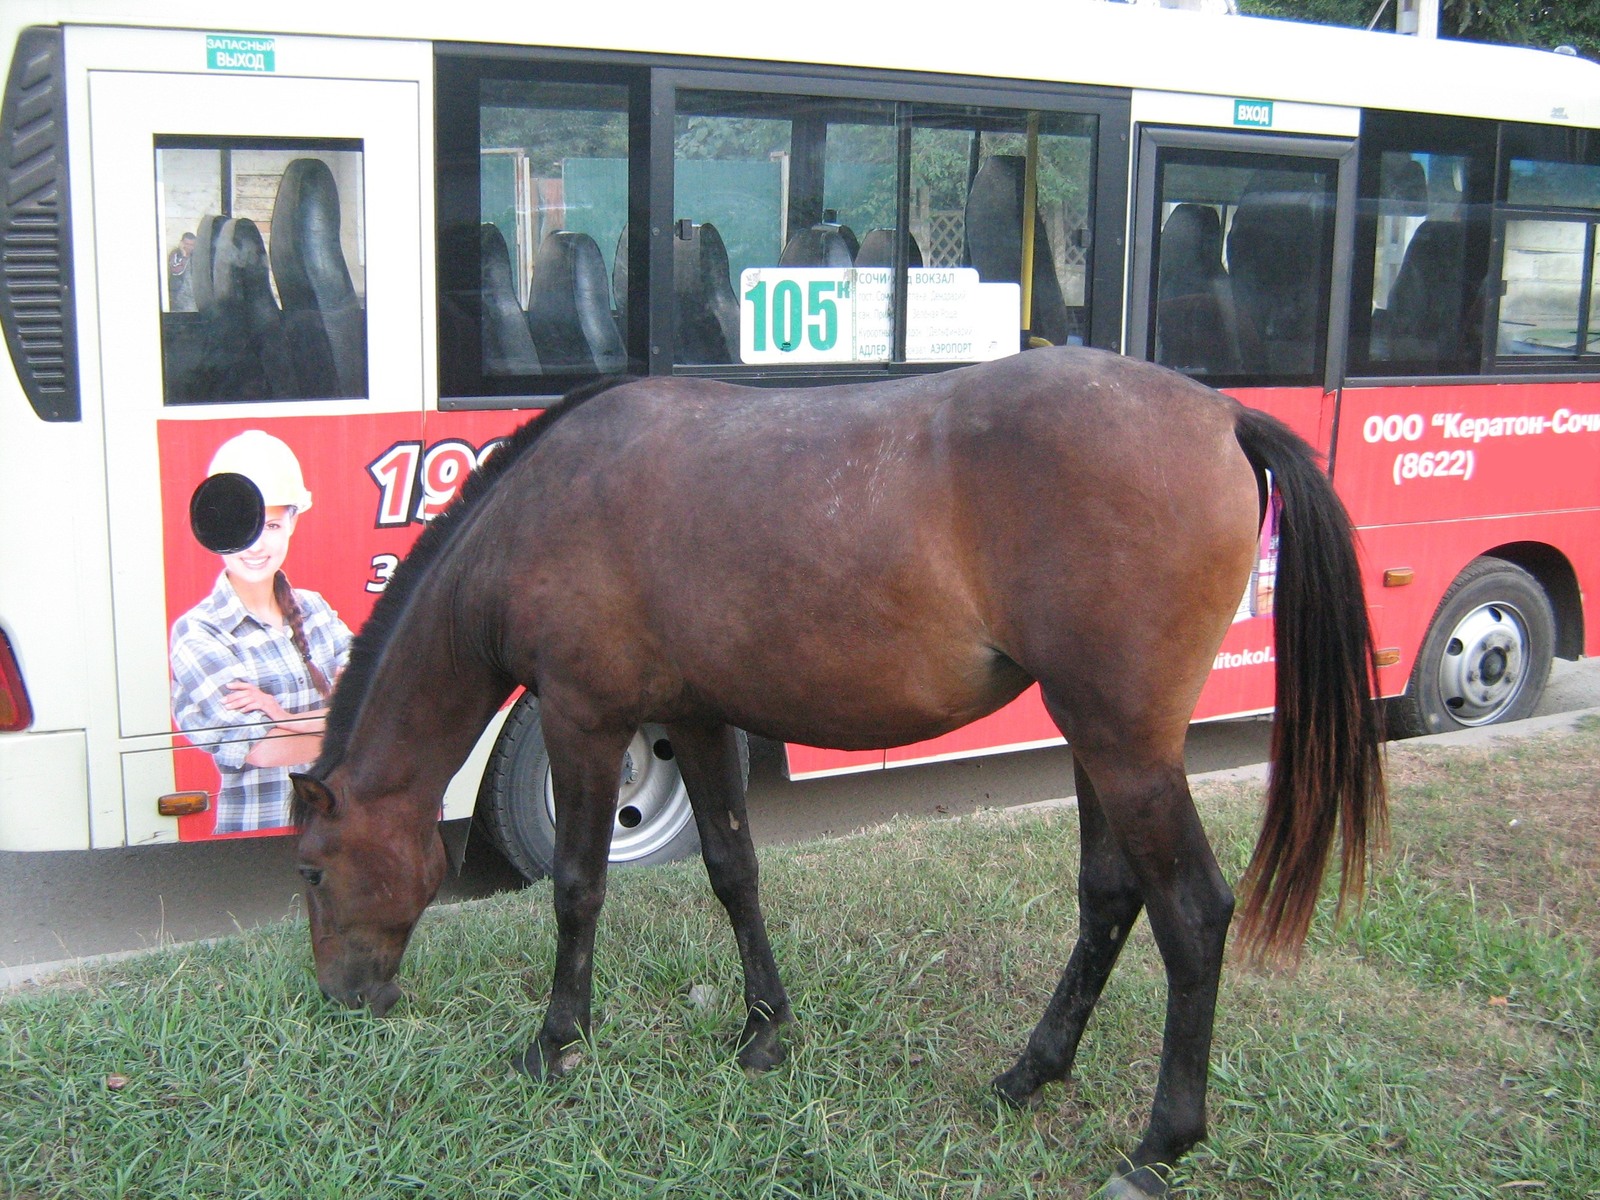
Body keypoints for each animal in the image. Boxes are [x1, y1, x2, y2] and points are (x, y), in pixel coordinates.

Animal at [291, 345, 1388, 1196]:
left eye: (309, 870)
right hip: (1100, 744)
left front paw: (556, 1041)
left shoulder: (582, 718)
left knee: (1192, 915)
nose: (344, 998)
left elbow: (576, 887)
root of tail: (1222, 415)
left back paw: (1158, 1146)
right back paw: (1029, 1073)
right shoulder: (694, 718)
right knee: (1110, 898)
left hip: (1126, 749)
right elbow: (733, 873)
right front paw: (764, 1032)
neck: (549, 503)